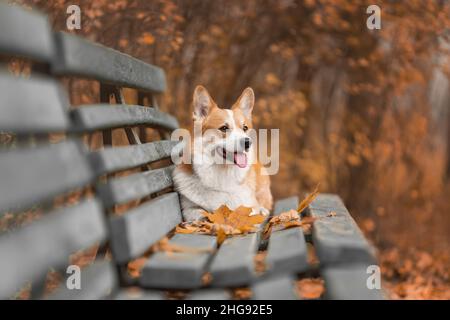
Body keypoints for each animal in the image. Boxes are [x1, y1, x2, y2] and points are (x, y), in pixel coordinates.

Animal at [171, 85, 270, 221]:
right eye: (224, 128)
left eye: (245, 128)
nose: (247, 143)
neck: (223, 172)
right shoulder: (188, 208)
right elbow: (199, 213)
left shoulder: (249, 207)